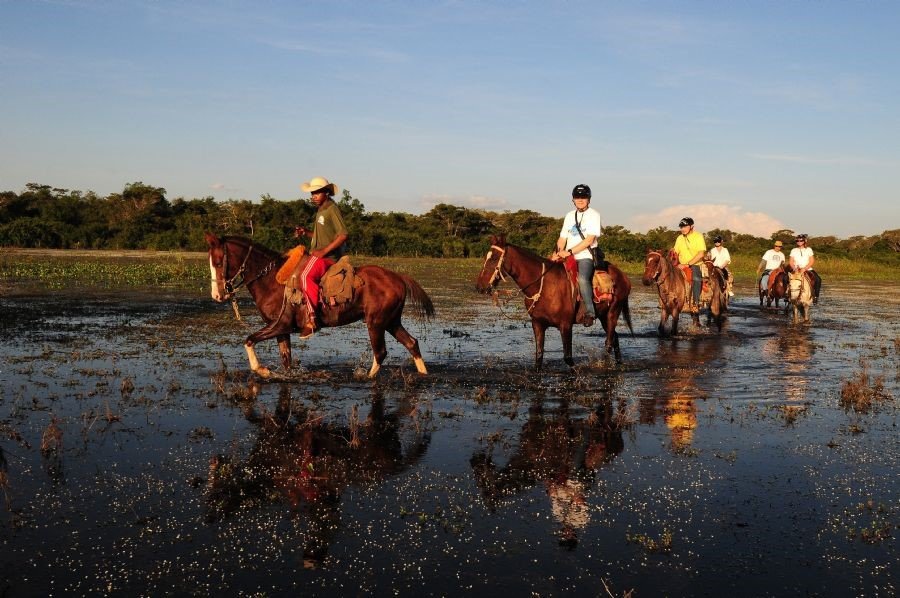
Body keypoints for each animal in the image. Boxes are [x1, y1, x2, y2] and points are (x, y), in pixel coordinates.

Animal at [208, 234, 440, 380]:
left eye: (218, 263)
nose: (217, 295)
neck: (271, 279)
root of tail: (399, 277)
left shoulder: (280, 325)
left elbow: (248, 340)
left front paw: (262, 370)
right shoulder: (281, 331)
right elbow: (286, 359)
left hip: (376, 323)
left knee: (381, 352)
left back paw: (367, 377)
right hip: (391, 321)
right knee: (411, 343)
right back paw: (423, 374)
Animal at [474, 236, 636, 368]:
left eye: (494, 259)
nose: (479, 287)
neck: (544, 285)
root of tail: (623, 276)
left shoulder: (566, 325)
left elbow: (568, 358)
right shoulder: (538, 324)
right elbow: (539, 356)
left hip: (613, 313)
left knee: (609, 342)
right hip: (603, 316)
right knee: (614, 338)